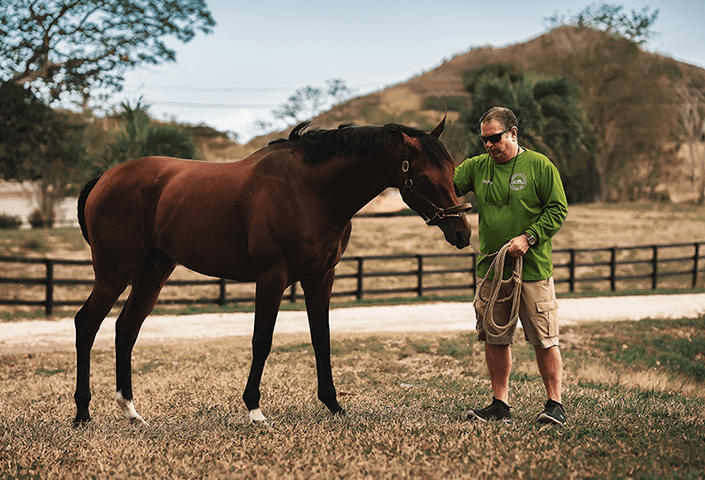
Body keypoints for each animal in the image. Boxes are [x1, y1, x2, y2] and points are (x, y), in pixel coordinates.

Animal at [72, 117, 472, 426]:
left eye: (452, 174)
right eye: (425, 178)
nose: (462, 233)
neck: (309, 190)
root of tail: (105, 178)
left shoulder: (320, 278)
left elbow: (321, 337)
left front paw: (334, 405)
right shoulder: (272, 277)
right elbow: (261, 339)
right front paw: (255, 410)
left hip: (153, 272)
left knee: (126, 328)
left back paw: (131, 411)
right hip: (114, 273)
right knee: (87, 324)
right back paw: (82, 414)